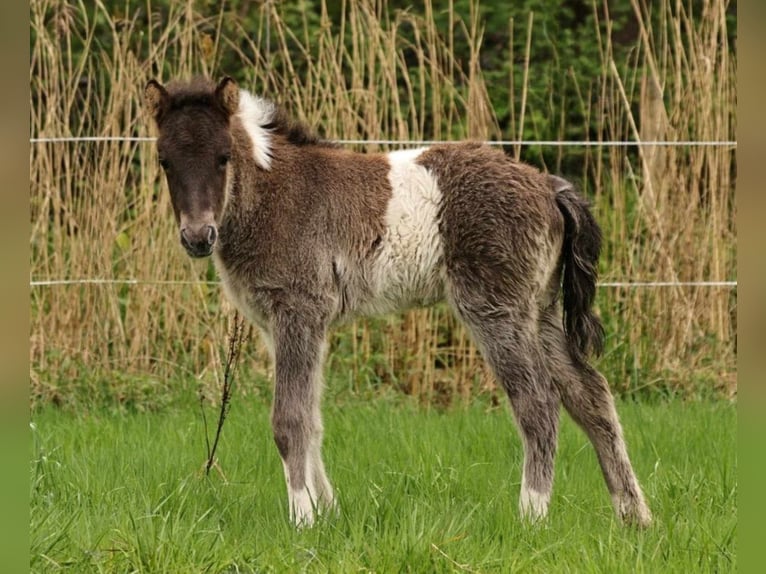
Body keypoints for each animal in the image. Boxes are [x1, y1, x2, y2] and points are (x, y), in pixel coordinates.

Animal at [145, 76, 651, 528]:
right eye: (165, 161)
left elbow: (289, 422)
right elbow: (312, 420)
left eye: (223, 157)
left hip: (495, 309)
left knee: (539, 402)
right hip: (539, 312)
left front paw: (302, 520)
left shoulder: (298, 312)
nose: (198, 237)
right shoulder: (288, 325)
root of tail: (549, 186)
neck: (274, 195)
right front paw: (329, 514)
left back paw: (531, 518)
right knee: (590, 396)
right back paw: (635, 517)